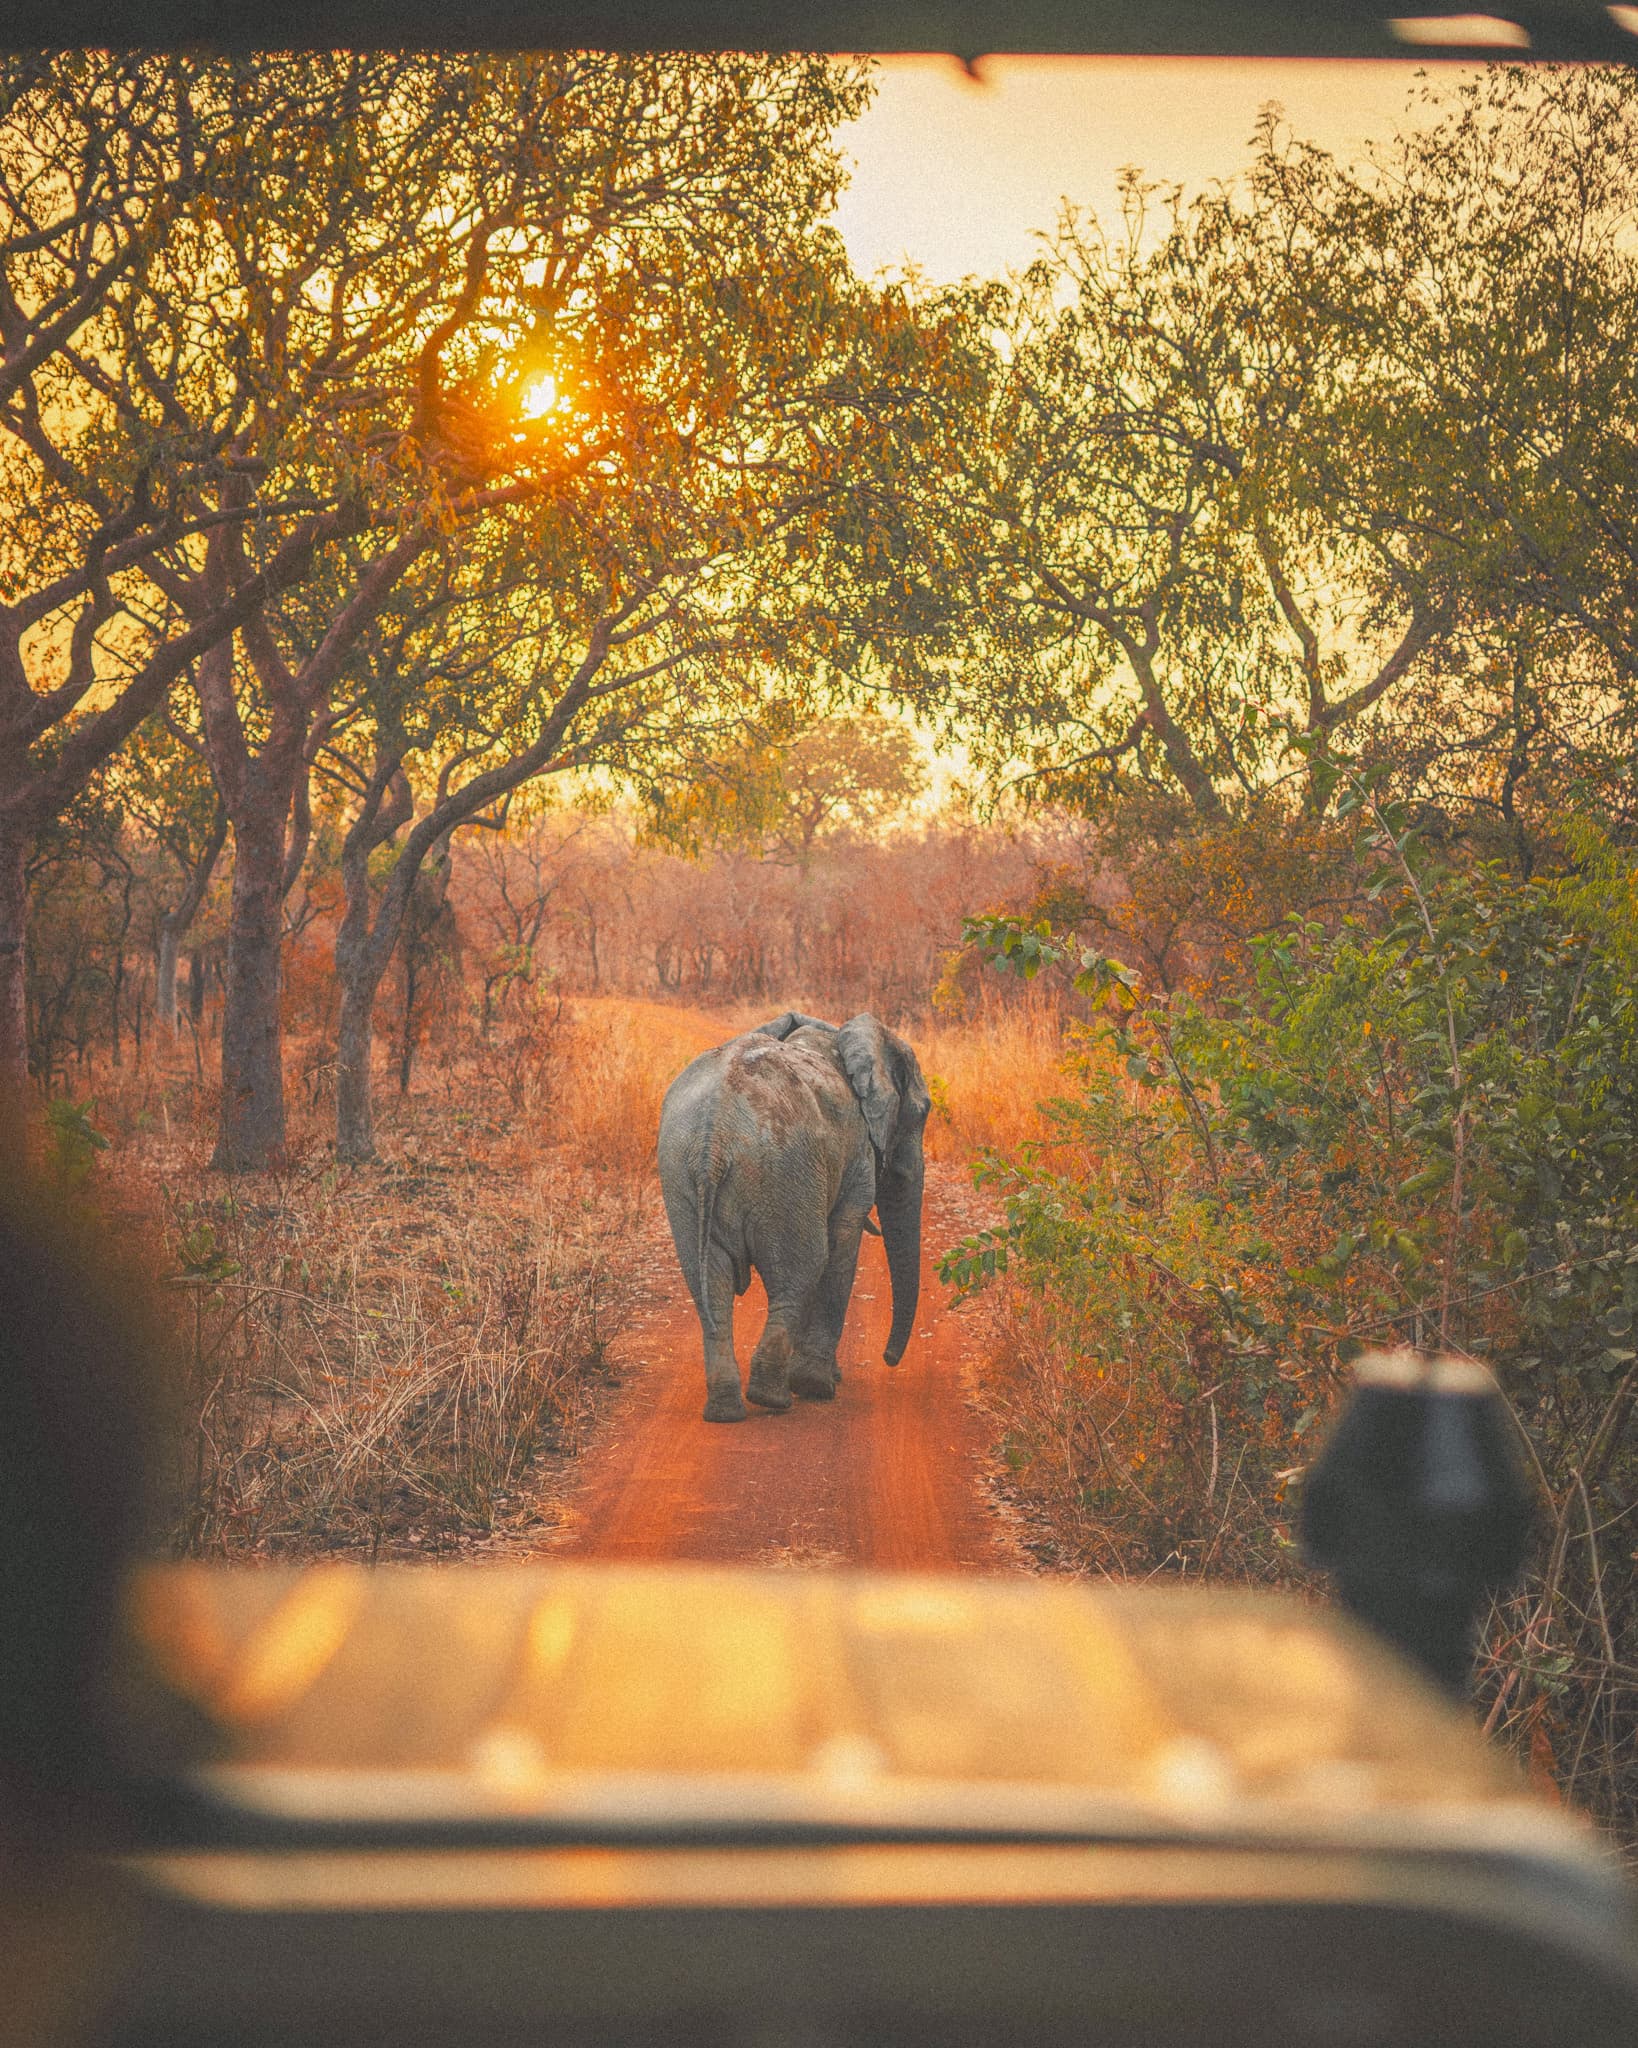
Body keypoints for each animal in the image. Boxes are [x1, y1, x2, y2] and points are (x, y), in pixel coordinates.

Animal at [657, 1011, 932, 1423]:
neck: (839, 1036)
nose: (888, 1358)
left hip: (682, 1175)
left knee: (710, 1285)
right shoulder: (857, 1157)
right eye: (923, 1111)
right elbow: (842, 1244)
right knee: (801, 1271)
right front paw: (819, 1384)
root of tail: (714, 1134)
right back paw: (776, 1398)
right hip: (784, 1170)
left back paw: (726, 1411)